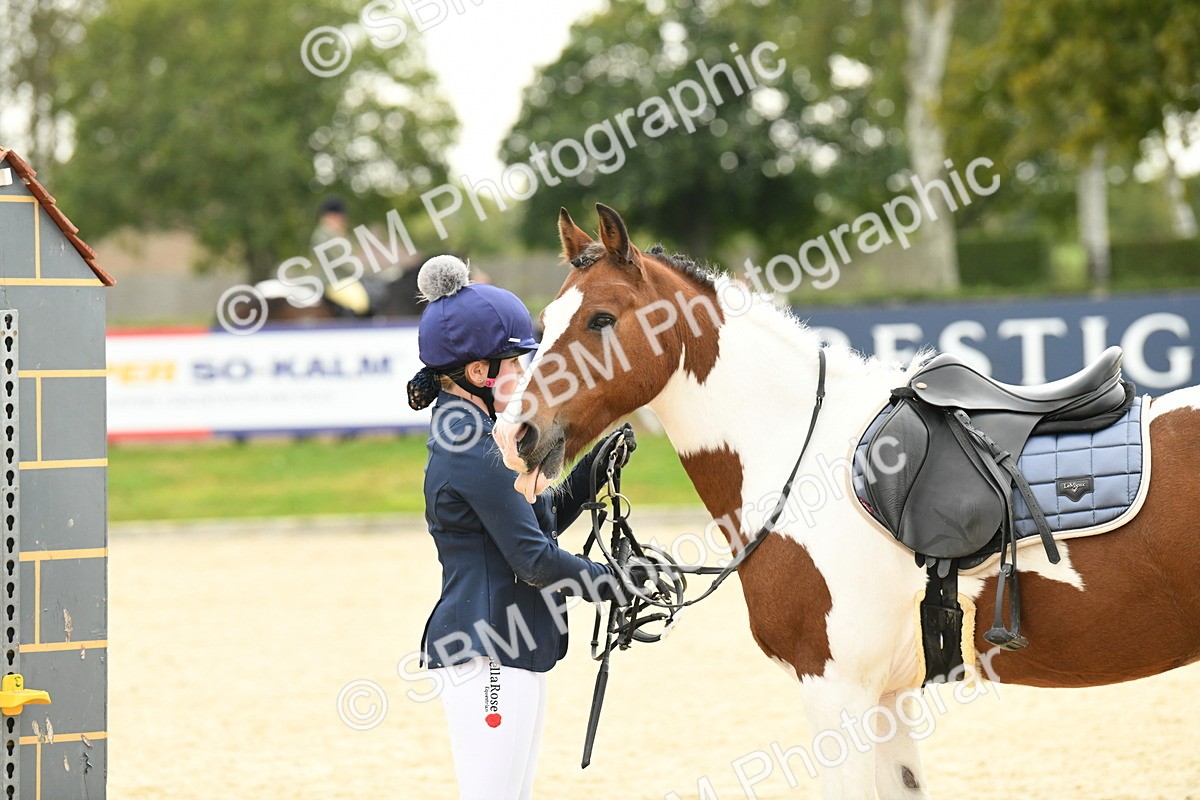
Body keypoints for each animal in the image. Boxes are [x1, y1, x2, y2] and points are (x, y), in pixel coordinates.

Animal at [492, 204, 1200, 798]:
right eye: (544, 324)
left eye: (602, 319)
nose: (514, 434)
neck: (807, 460)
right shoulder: (883, 698)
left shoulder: (837, 692)